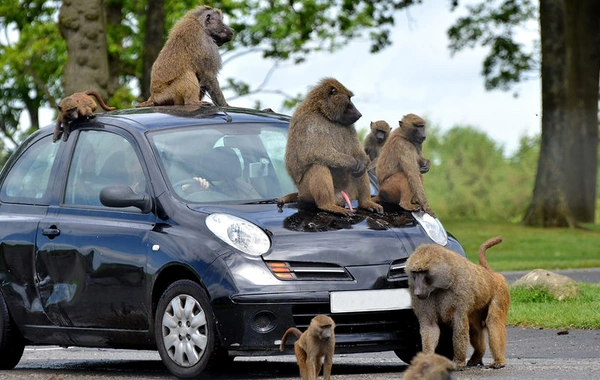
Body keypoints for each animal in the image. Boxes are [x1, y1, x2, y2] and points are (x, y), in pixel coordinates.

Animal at [278, 78, 382, 214]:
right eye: (349, 99)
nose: (359, 114)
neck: (324, 113)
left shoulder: (348, 126)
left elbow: (357, 152)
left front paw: (362, 162)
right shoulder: (309, 122)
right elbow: (314, 152)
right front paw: (352, 162)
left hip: (348, 192)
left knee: (361, 171)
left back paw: (366, 203)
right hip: (306, 193)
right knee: (318, 165)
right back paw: (328, 206)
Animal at [406, 236, 508, 370]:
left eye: (423, 272)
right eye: (415, 273)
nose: (417, 292)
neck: (438, 287)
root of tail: (491, 275)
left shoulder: (460, 291)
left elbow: (459, 325)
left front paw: (458, 362)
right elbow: (430, 327)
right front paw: (426, 360)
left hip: (500, 292)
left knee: (493, 322)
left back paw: (499, 361)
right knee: (475, 328)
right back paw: (477, 357)